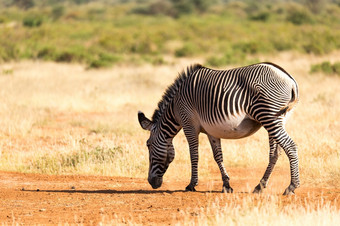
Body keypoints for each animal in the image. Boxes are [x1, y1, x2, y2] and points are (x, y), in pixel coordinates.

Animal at [137, 62, 298, 195]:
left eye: (148, 145)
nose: (151, 183)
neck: (175, 108)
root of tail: (289, 79)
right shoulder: (211, 131)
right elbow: (218, 156)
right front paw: (226, 185)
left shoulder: (189, 125)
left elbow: (194, 155)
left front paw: (191, 184)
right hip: (278, 118)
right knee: (275, 153)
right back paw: (260, 186)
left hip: (269, 116)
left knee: (290, 146)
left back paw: (291, 187)